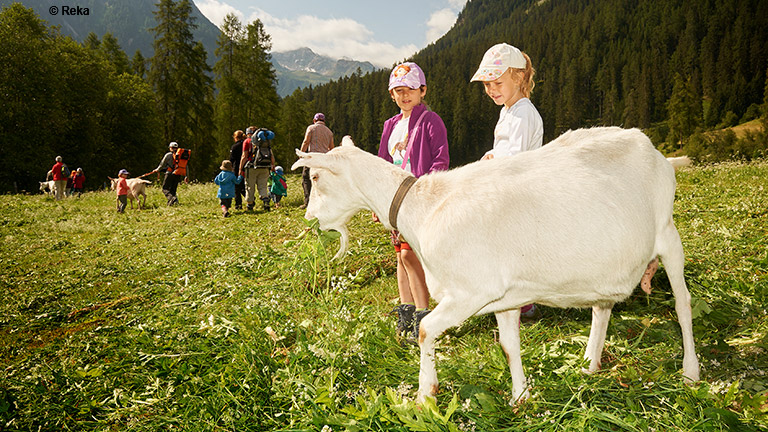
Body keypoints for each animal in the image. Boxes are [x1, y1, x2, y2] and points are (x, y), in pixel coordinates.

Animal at [292, 126, 700, 404]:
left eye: (316, 176)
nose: (310, 219)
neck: (423, 206)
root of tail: (658, 153)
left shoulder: (471, 292)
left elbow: (425, 330)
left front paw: (425, 395)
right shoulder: (505, 297)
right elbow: (508, 345)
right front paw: (521, 397)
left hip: (668, 235)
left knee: (683, 304)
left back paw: (691, 372)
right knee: (602, 309)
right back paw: (589, 363)